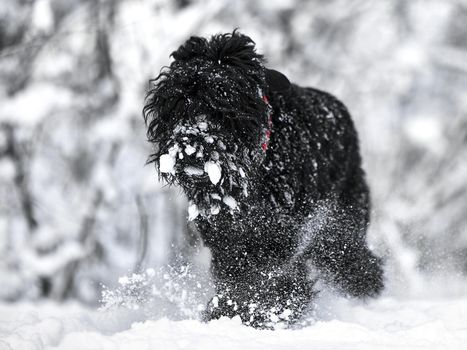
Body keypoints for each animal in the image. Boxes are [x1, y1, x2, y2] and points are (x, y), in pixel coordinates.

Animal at [143, 30, 384, 328]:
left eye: (224, 103)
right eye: (176, 104)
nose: (190, 148)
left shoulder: (276, 234)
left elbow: (261, 278)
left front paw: (265, 311)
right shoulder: (226, 237)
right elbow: (237, 277)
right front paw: (227, 312)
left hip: (341, 217)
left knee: (351, 256)